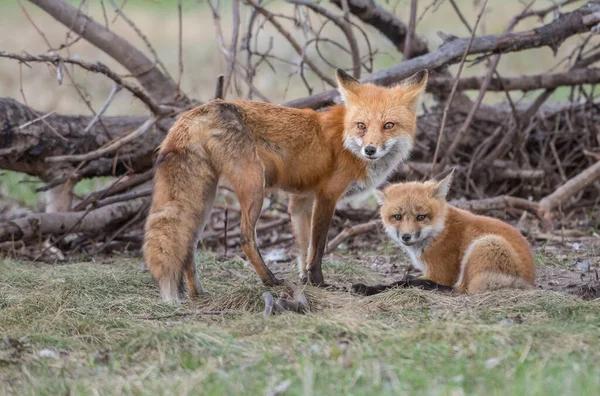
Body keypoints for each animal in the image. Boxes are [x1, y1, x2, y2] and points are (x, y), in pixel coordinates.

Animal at [144, 69, 428, 304]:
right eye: (362, 126)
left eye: (388, 125)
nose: (370, 150)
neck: (346, 141)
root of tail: (197, 111)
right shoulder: (327, 196)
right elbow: (317, 247)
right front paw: (319, 283)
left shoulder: (301, 200)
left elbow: (303, 247)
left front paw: (304, 281)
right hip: (253, 187)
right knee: (245, 238)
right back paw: (269, 280)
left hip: (206, 198)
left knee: (189, 244)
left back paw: (197, 292)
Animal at [352, 169, 536, 296]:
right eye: (397, 217)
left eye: (421, 217)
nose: (406, 236)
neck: (438, 232)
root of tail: (529, 281)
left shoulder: (440, 274)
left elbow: (396, 283)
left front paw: (368, 288)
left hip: (486, 244)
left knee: (458, 290)